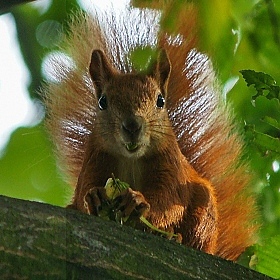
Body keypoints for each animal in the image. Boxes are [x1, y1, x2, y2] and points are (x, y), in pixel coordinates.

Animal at [45, 2, 258, 260]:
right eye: (102, 102)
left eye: (160, 101)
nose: (132, 126)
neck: (131, 159)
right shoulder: (95, 159)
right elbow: (84, 189)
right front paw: (93, 196)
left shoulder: (170, 166)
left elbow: (169, 201)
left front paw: (138, 202)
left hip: (203, 210)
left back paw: (174, 238)